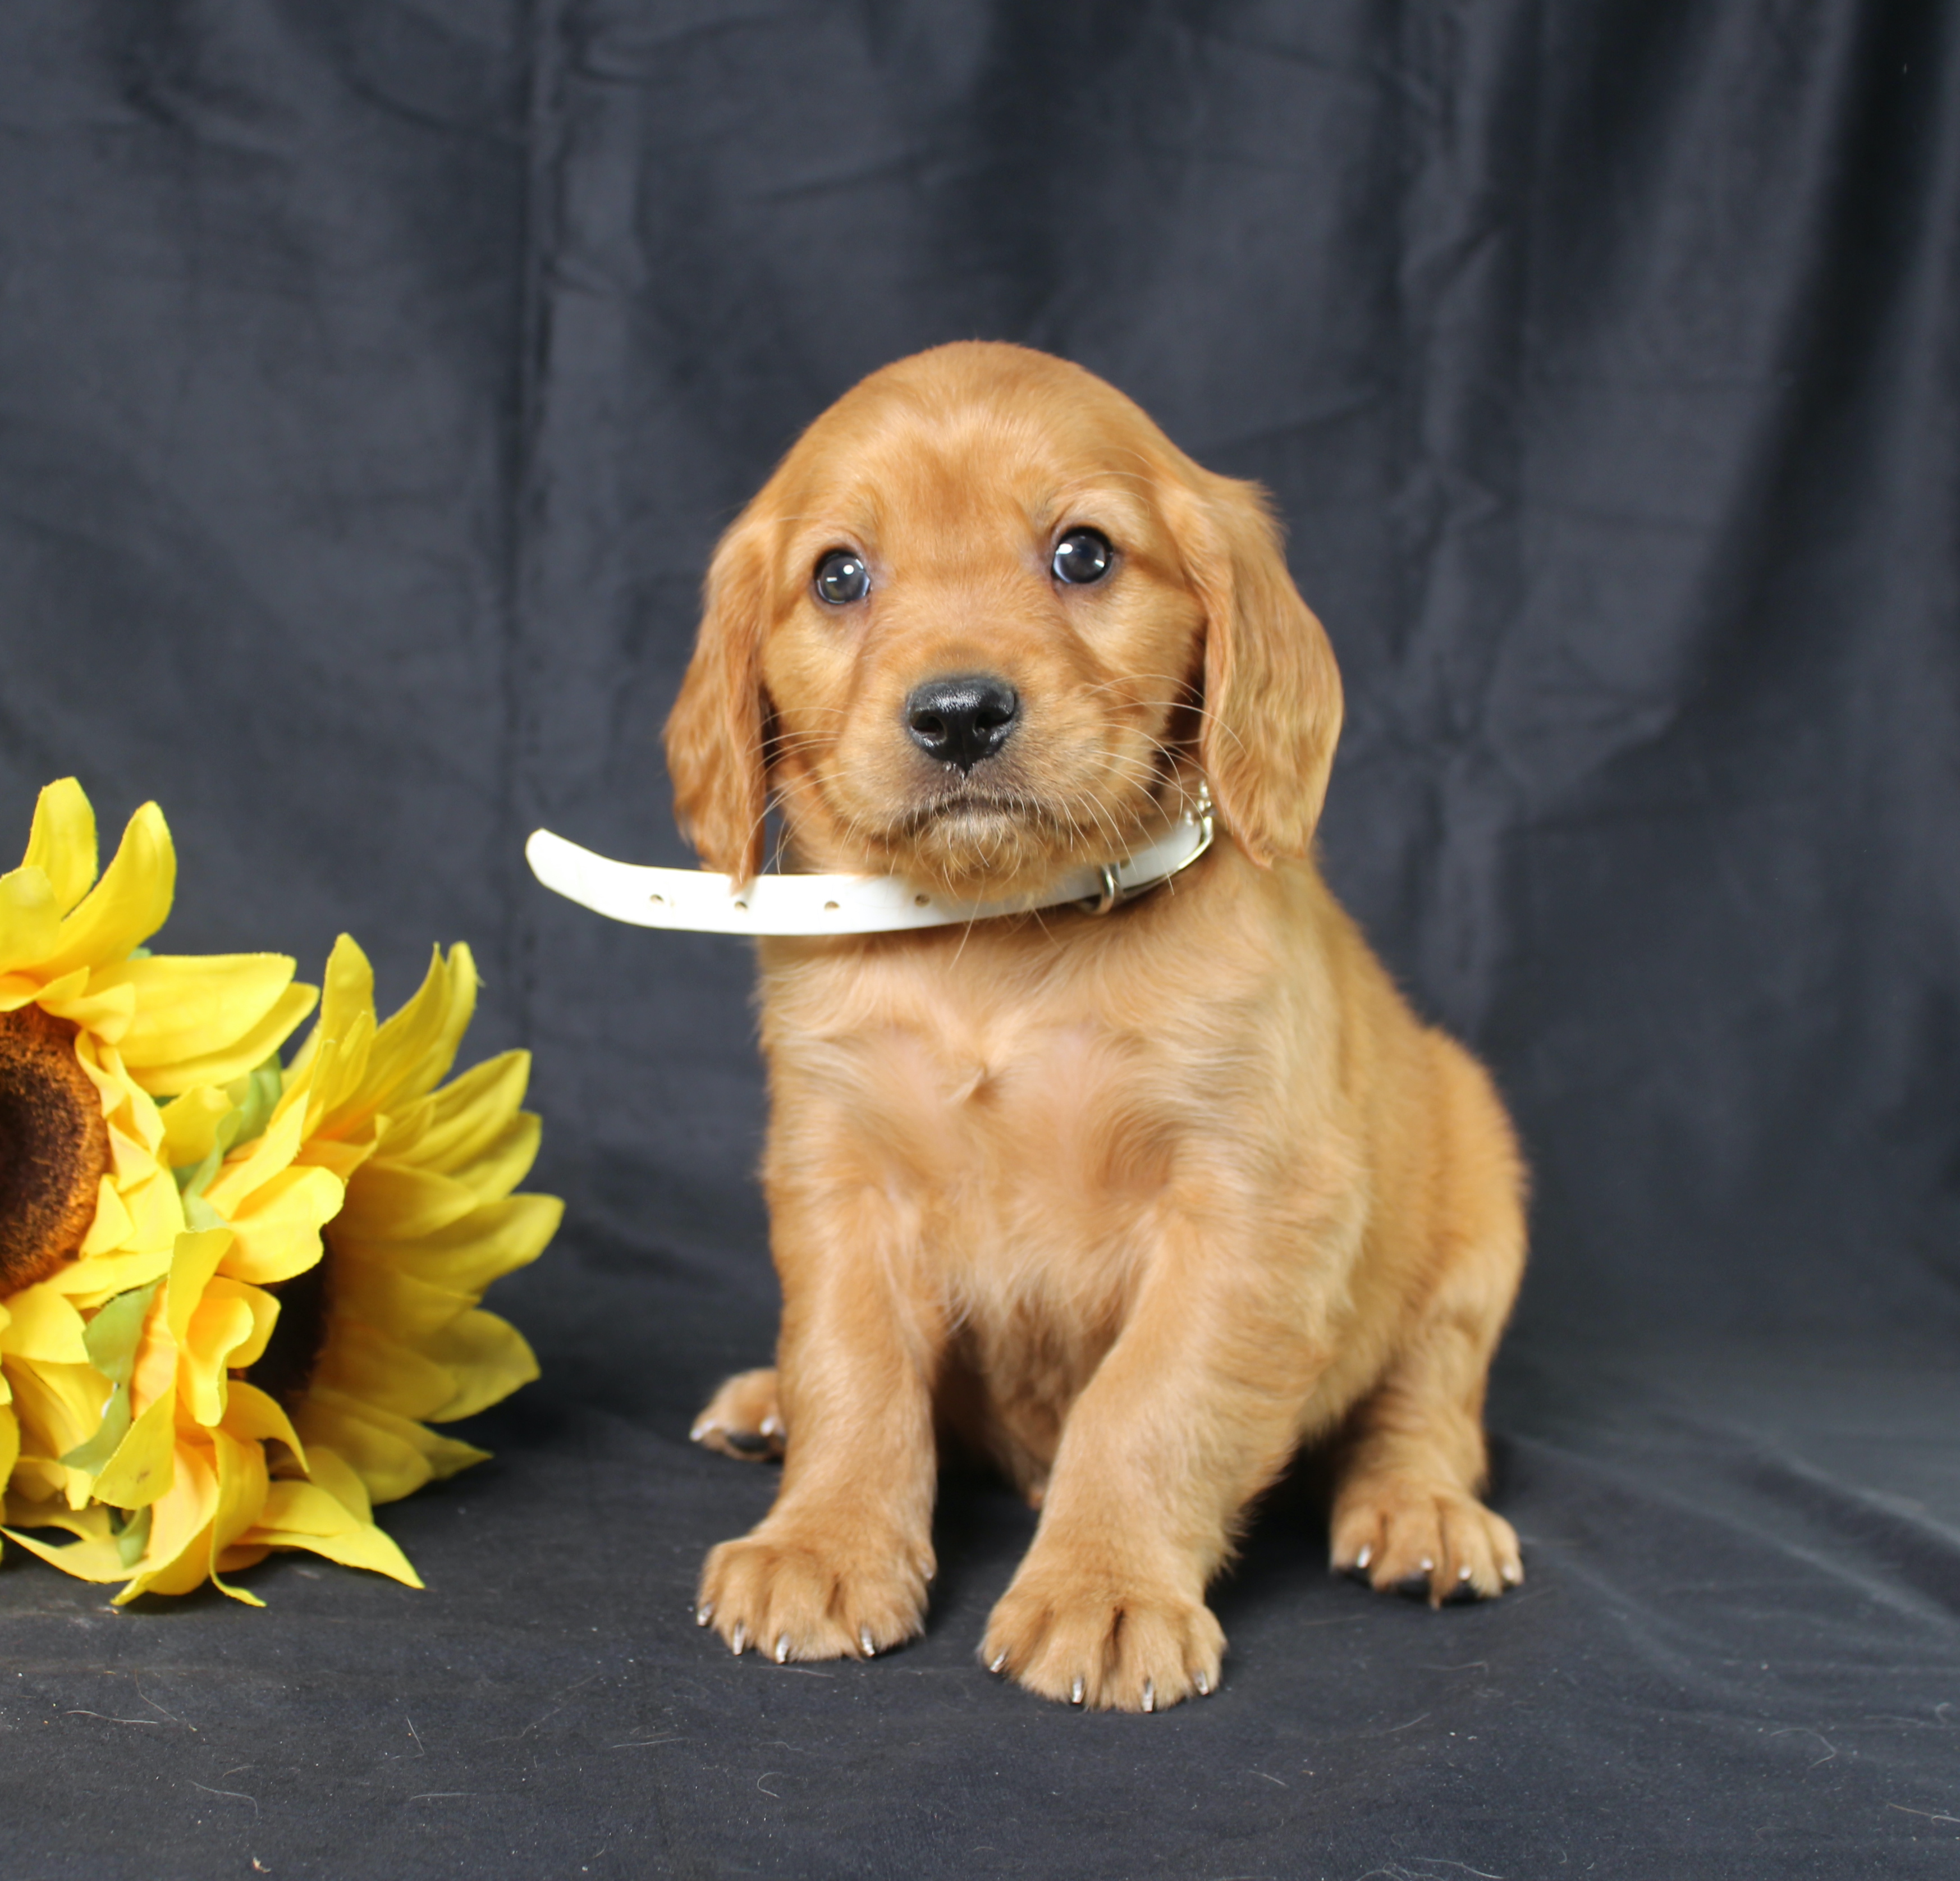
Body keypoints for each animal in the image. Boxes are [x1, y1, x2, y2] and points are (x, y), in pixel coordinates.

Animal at [666, 335, 1521, 1708]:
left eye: (1084, 554)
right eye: (839, 575)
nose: (960, 713)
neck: (1001, 944)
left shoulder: (1252, 1203)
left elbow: (1149, 1400)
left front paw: (1105, 1590)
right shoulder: (840, 1175)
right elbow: (852, 1368)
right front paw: (824, 1543)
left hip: (1478, 1188)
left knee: (1428, 1399)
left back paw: (1421, 1513)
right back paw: (767, 1402)